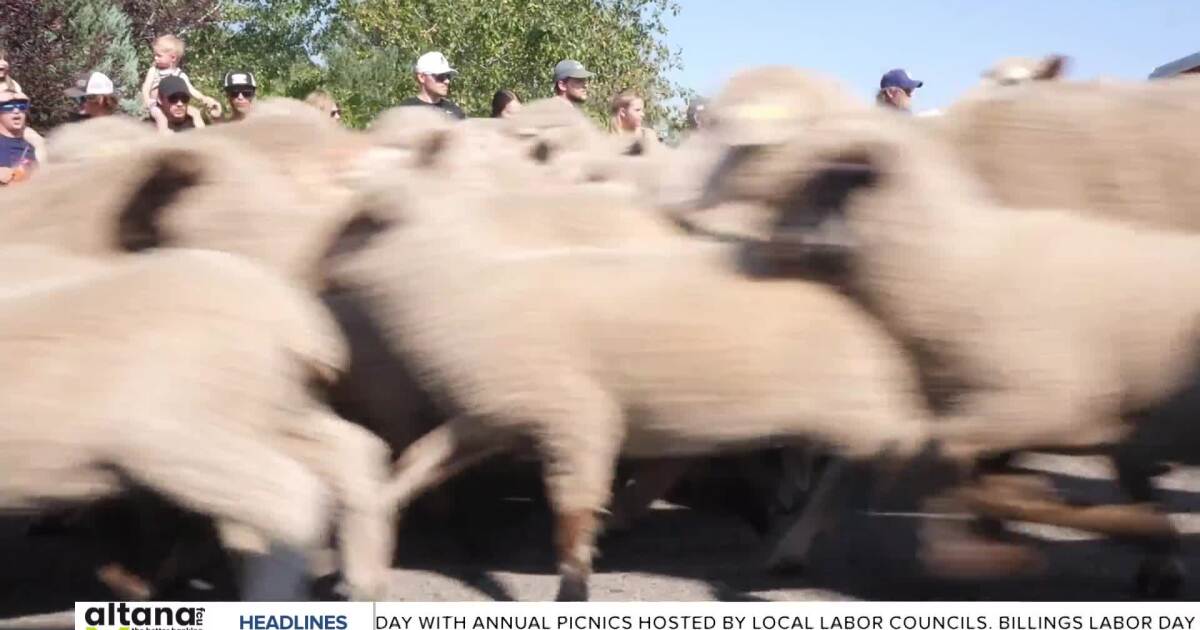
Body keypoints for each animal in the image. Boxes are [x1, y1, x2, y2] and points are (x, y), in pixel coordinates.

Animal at [0, 246, 391, 600]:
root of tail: (295, 324)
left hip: (177, 430)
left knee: (290, 497)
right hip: (273, 410)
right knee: (351, 451)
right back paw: (365, 580)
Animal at [691, 110, 1200, 597]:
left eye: (811, 180)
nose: (735, 257)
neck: (950, 268)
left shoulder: (1044, 405)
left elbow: (943, 457)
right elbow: (853, 473)